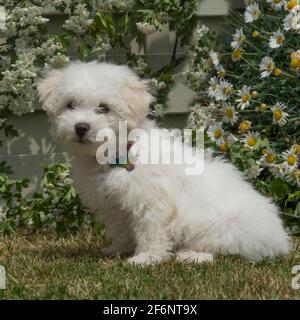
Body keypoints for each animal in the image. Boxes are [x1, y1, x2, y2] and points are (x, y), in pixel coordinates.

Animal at [37, 60, 290, 264]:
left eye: (103, 108)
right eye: (70, 105)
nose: (81, 127)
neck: (119, 152)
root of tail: (279, 239)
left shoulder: (150, 201)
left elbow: (150, 230)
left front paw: (146, 258)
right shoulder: (115, 205)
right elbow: (120, 229)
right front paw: (118, 249)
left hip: (214, 223)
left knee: (222, 251)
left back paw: (192, 255)